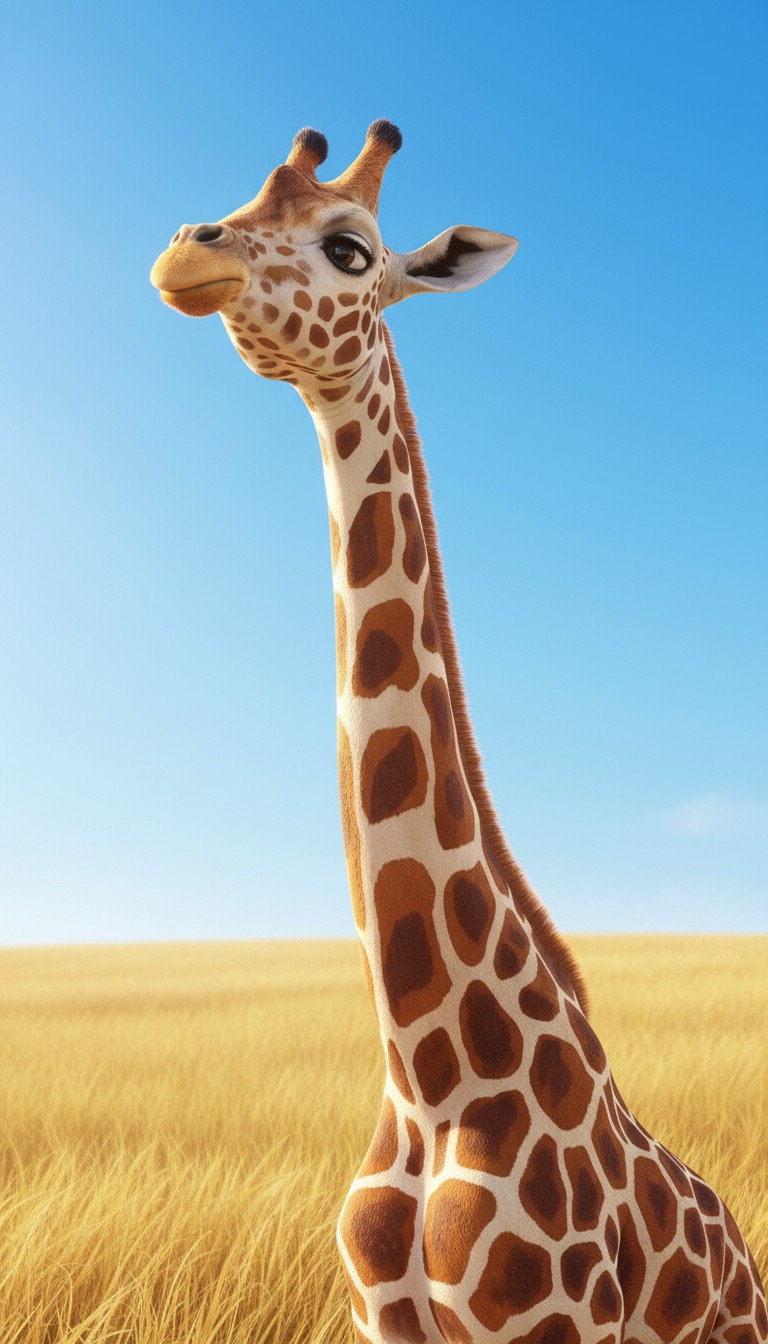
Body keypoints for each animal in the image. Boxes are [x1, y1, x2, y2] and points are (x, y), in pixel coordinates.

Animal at [150, 121, 767, 1344]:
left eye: (351, 248)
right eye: (241, 195)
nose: (186, 255)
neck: (433, 1078)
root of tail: (744, 1250)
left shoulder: (552, 1326)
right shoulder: (380, 1321)